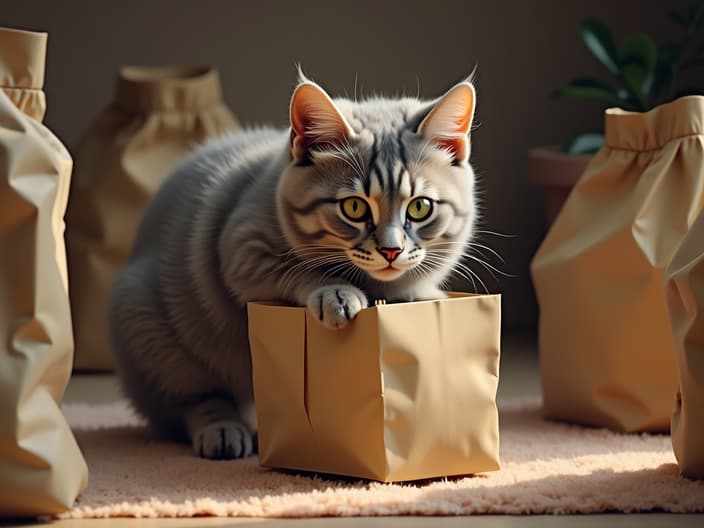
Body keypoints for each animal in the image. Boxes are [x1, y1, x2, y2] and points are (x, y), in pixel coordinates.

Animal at [108, 72, 478, 460]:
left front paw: (426, 296)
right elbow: (301, 270)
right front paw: (336, 293)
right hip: (148, 327)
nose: (391, 250)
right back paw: (222, 430)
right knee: (193, 400)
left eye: (420, 207)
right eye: (354, 208)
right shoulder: (241, 248)